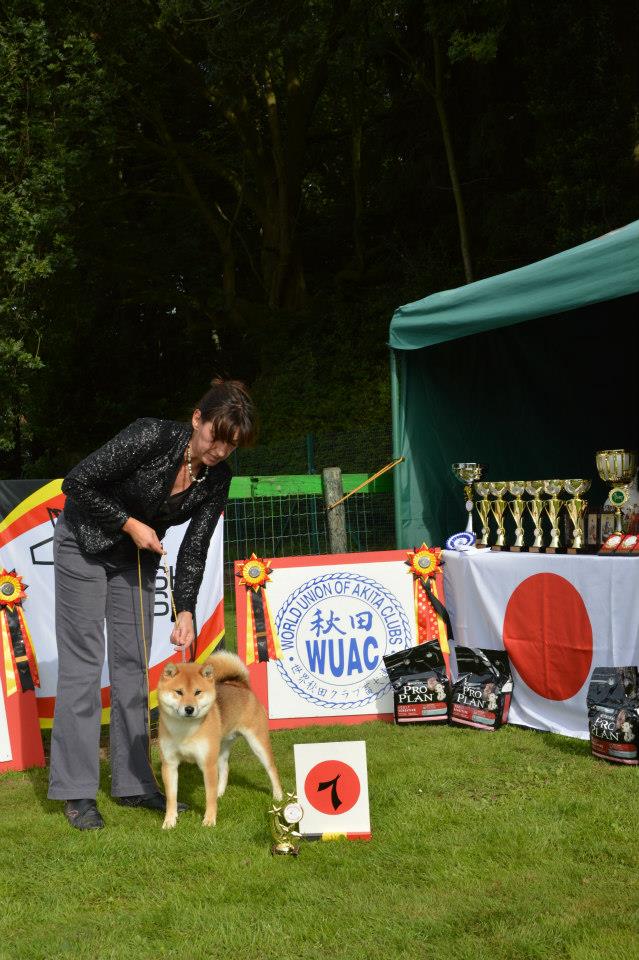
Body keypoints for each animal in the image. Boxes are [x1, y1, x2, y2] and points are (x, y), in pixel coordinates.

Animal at [156, 656, 282, 828]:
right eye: (179, 692)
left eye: (197, 692)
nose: (189, 709)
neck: (184, 730)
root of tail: (240, 686)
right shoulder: (169, 764)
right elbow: (171, 798)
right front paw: (169, 821)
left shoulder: (207, 764)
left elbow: (209, 797)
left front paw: (209, 820)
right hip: (220, 748)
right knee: (225, 769)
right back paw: (219, 792)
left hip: (257, 743)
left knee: (272, 769)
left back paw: (278, 795)